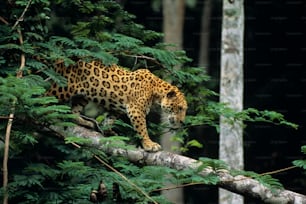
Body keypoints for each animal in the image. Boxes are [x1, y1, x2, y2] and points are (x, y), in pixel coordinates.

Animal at [46, 60, 188, 151]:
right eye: (180, 108)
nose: (182, 122)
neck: (155, 92)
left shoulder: (118, 109)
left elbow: (109, 119)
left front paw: (107, 131)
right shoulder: (136, 110)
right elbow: (142, 129)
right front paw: (149, 144)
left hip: (82, 96)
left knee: (74, 112)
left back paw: (85, 122)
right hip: (63, 88)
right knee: (46, 95)